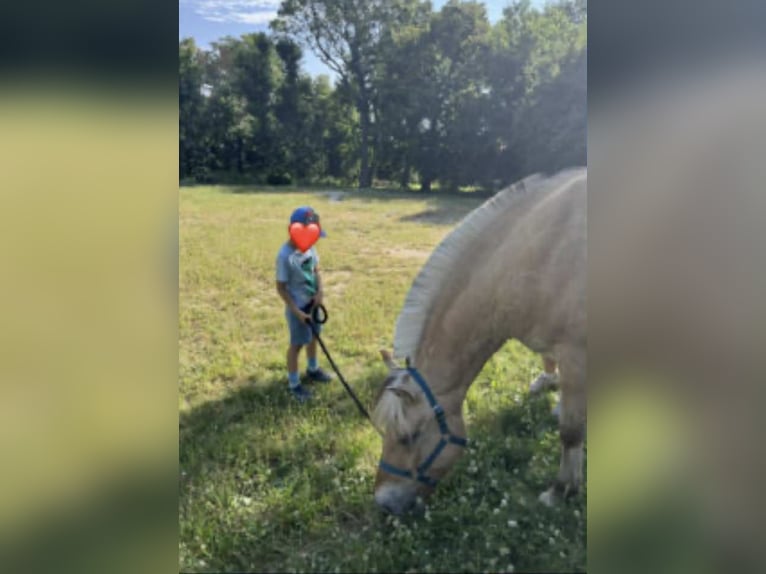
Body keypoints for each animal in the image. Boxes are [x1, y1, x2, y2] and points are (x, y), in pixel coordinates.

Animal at [371, 168, 586, 515]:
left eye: (408, 437)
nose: (384, 504)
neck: (543, 254)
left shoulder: (577, 355)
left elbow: (570, 431)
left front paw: (560, 490)